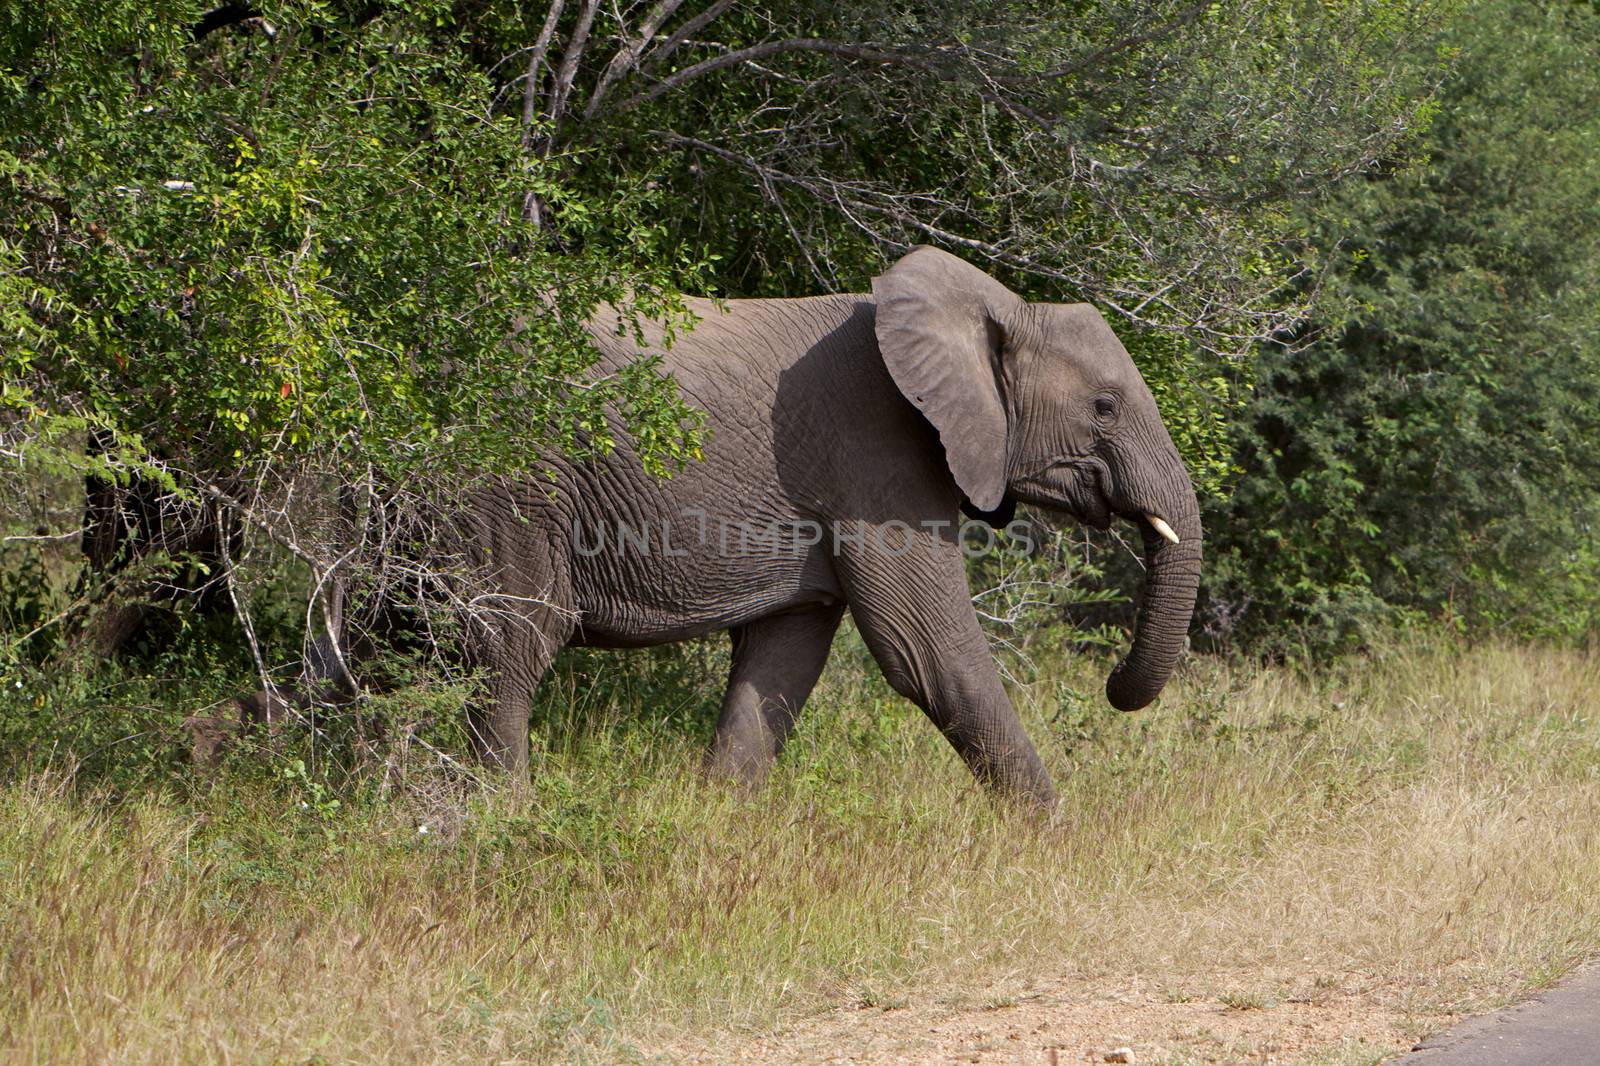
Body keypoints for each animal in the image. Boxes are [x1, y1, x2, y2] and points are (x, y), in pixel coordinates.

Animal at [451, 244, 1203, 800]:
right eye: (1104, 407)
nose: (1111, 684)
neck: (995, 309)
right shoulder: (876, 457)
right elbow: (929, 653)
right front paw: (1058, 845)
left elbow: (785, 654)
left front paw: (717, 818)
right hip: (514, 486)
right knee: (509, 651)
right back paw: (504, 822)